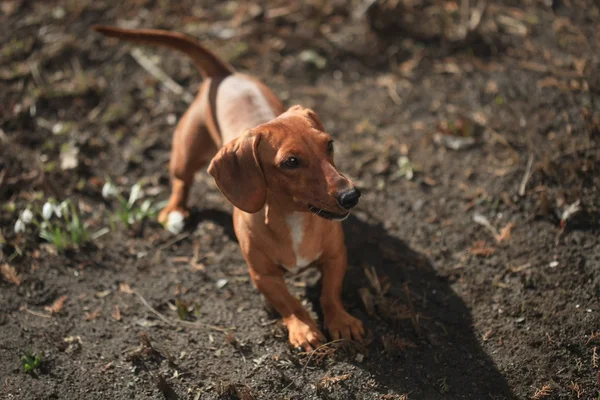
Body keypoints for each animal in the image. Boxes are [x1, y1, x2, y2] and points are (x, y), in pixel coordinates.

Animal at [95, 25, 366, 350]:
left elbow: (330, 292)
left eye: (329, 145)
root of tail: (223, 74)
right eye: (290, 162)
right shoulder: (262, 275)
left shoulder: (336, 256)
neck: (293, 218)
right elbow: (290, 303)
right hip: (185, 153)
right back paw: (174, 211)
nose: (351, 196)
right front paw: (303, 328)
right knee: (181, 182)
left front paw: (340, 320)